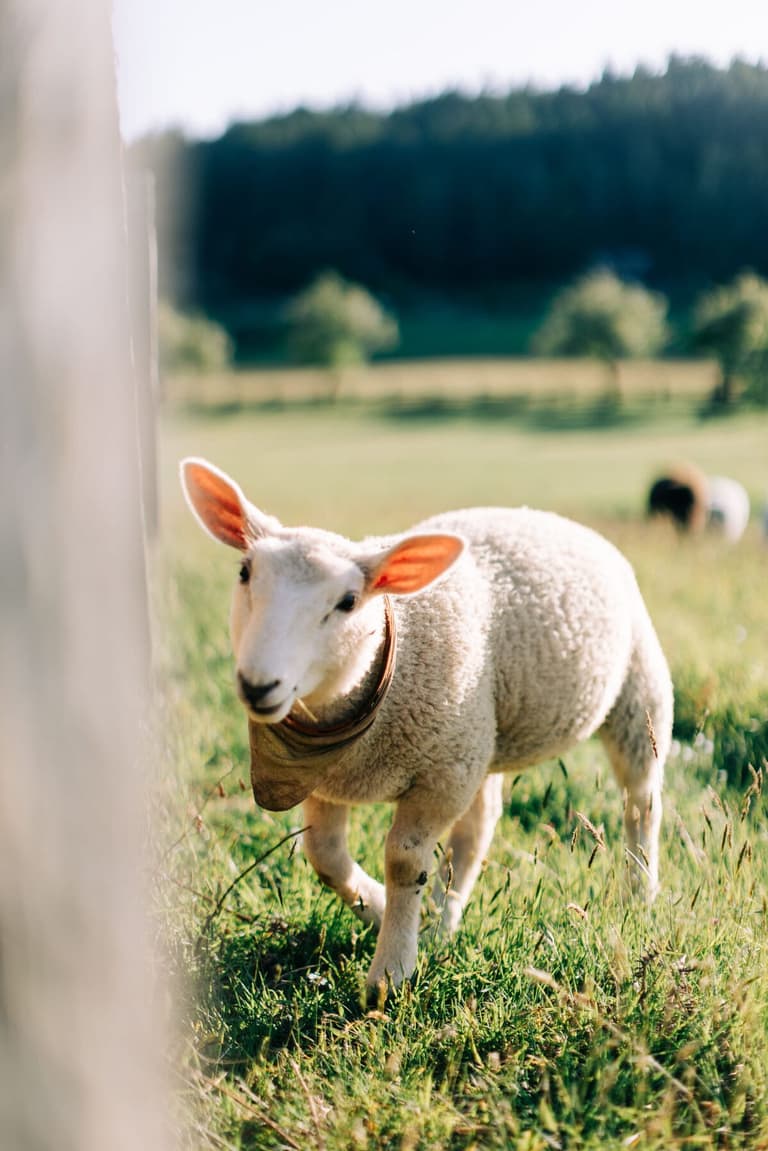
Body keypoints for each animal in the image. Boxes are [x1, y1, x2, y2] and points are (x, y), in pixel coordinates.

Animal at [181, 457, 673, 991]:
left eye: (348, 601)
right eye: (245, 572)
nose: (258, 684)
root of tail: (555, 519)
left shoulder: (438, 778)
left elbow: (404, 861)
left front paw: (391, 970)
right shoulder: (329, 781)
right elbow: (324, 856)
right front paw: (379, 908)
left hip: (636, 696)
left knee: (641, 801)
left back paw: (639, 892)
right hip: (480, 738)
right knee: (478, 828)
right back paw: (442, 921)